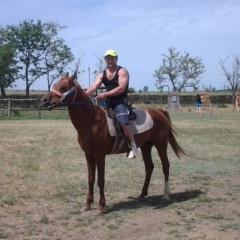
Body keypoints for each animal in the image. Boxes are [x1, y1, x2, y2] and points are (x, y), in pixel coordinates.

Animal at [41, 72, 187, 213]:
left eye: (63, 86)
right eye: (55, 84)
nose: (44, 100)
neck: (91, 121)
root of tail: (159, 112)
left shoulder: (100, 155)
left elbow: (100, 180)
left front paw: (101, 206)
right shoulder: (88, 155)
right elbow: (90, 179)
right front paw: (87, 204)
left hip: (161, 145)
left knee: (165, 166)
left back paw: (166, 195)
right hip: (146, 146)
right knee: (149, 167)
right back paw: (142, 195)